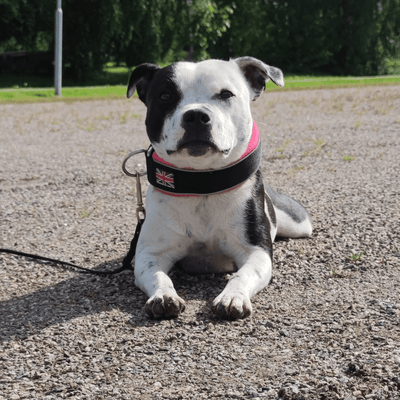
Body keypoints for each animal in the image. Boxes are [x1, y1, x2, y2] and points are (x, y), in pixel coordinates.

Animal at [126, 55, 312, 318]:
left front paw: (232, 297)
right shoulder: (150, 253)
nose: (195, 115)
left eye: (226, 94)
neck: (203, 183)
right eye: (165, 96)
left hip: (299, 224)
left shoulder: (256, 252)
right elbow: (157, 274)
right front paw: (164, 296)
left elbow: (241, 275)